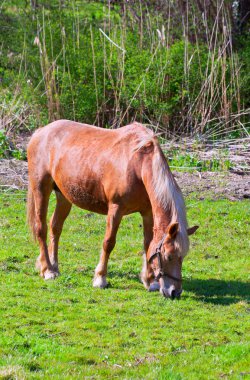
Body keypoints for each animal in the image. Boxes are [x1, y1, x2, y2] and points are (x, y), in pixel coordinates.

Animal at [26, 120, 197, 298]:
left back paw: (53, 266)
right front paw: (100, 278)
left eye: (182, 257)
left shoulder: (148, 213)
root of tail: (41, 132)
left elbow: (148, 244)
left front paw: (150, 281)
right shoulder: (116, 209)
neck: (138, 164)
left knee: (55, 228)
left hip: (64, 196)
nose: (174, 292)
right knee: (41, 228)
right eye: (169, 256)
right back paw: (47, 270)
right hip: (41, 189)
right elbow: (108, 242)